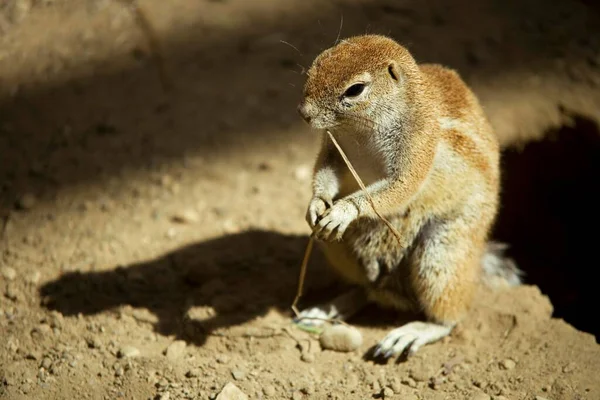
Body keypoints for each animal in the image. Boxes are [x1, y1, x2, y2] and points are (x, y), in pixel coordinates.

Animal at [296, 35, 520, 360]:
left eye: (355, 89)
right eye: (318, 62)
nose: (304, 113)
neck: (360, 129)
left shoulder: (418, 146)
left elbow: (398, 189)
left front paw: (342, 211)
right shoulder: (332, 148)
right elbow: (324, 173)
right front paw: (317, 204)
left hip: (442, 254)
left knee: (450, 317)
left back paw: (411, 333)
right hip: (337, 248)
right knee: (365, 289)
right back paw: (325, 309)